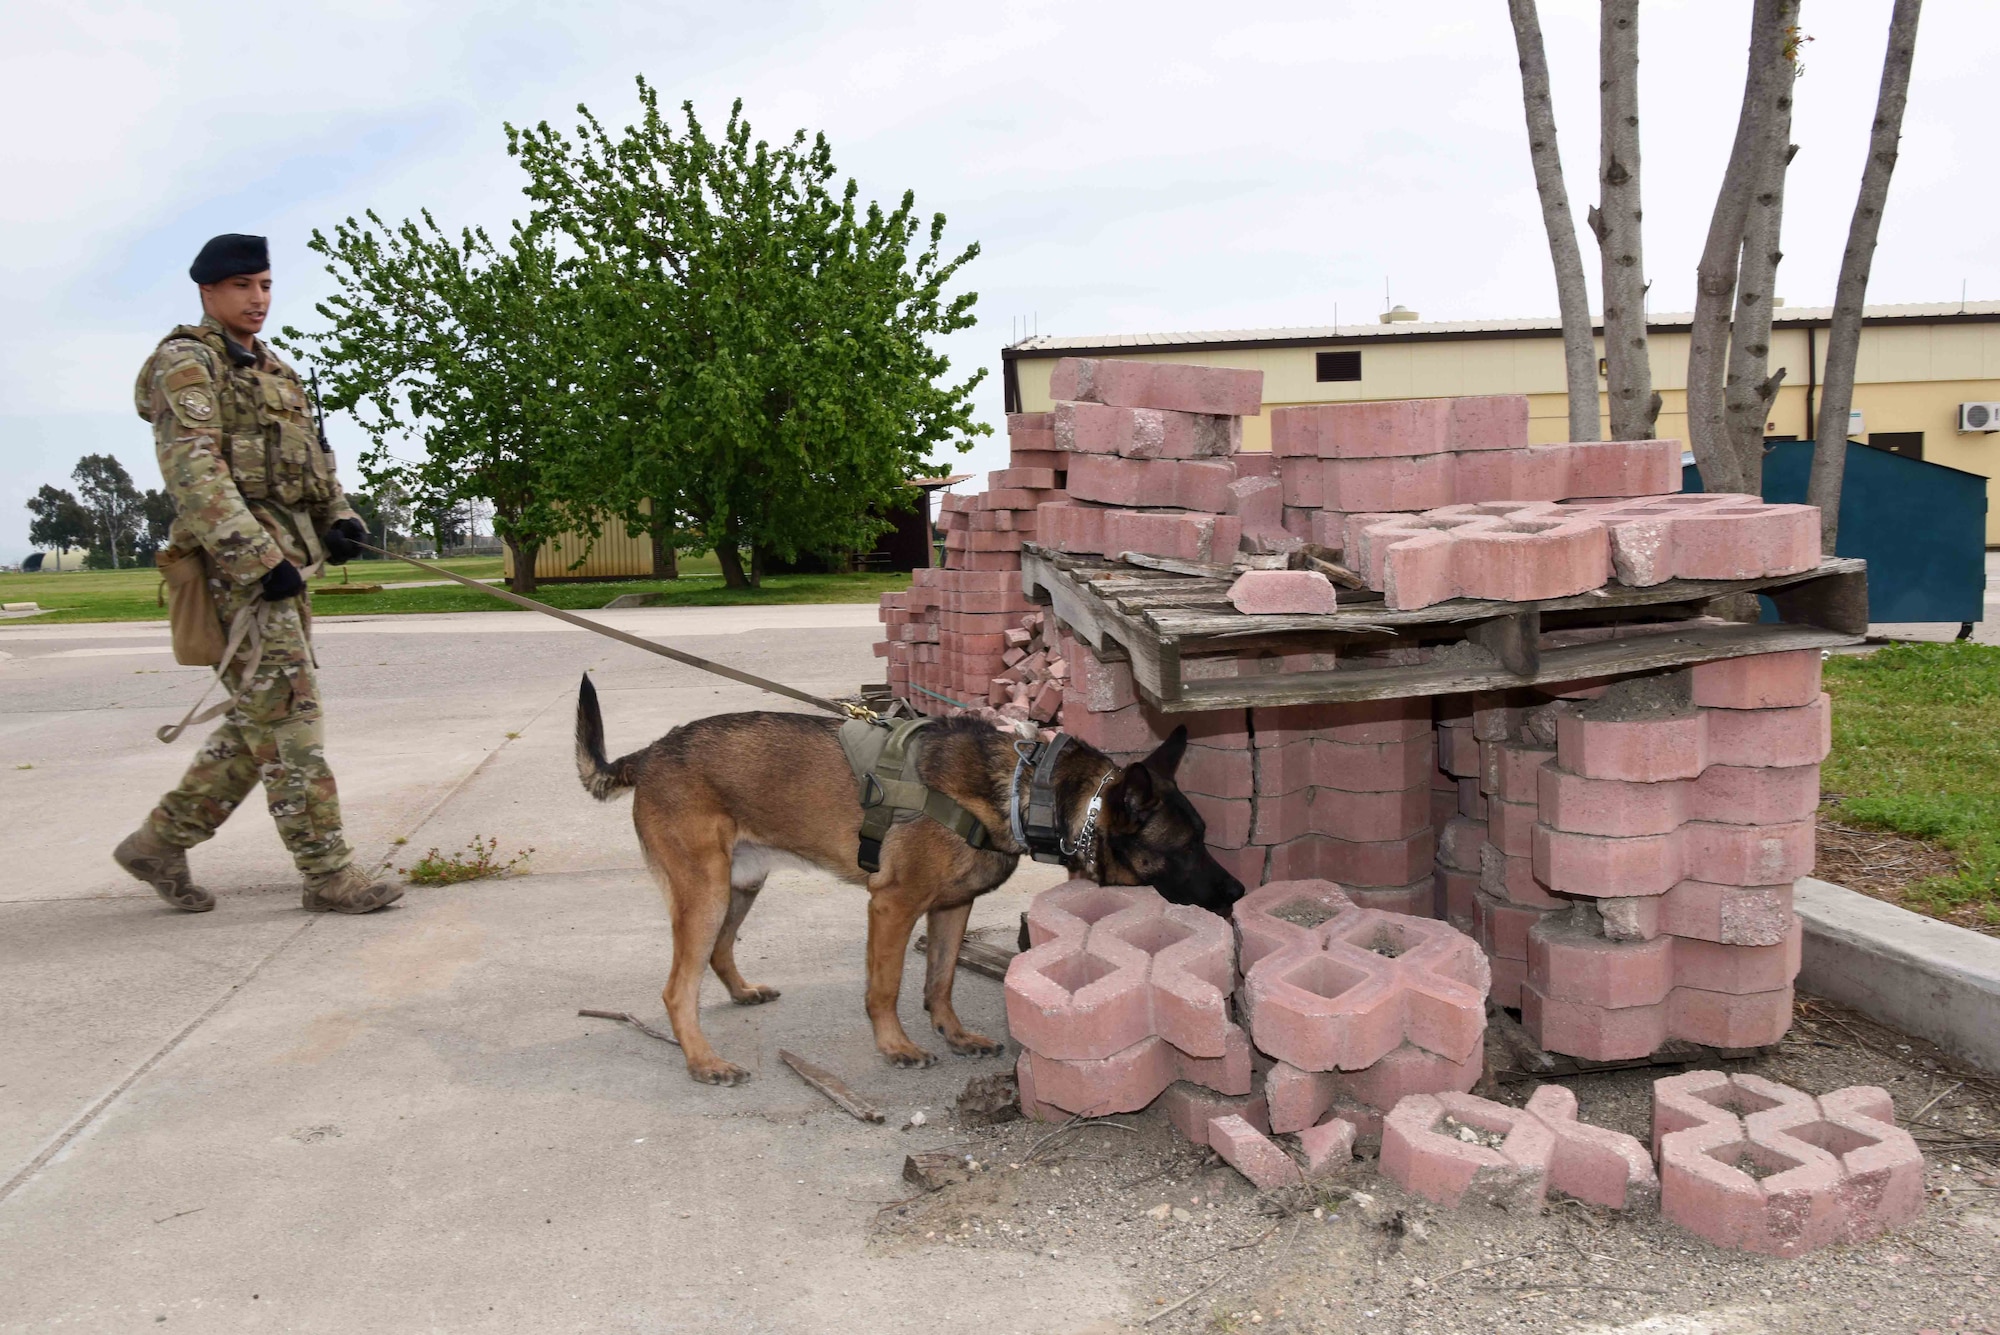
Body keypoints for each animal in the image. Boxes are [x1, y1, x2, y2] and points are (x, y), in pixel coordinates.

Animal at [572, 679, 1240, 1087]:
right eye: (1186, 848)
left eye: (1207, 834)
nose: (1236, 893)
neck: (1026, 791)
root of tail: (648, 754)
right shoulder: (892, 907)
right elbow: (886, 987)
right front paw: (895, 1046)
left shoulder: (952, 908)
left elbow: (939, 980)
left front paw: (955, 1035)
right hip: (705, 893)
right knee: (676, 989)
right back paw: (704, 1061)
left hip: (739, 886)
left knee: (718, 951)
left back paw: (741, 993)